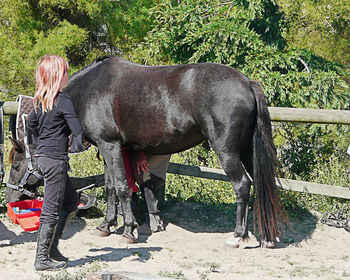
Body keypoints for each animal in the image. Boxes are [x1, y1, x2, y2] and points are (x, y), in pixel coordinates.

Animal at [6, 55, 288, 247]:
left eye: (17, 165)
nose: (10, 198)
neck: (88, 91)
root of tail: (247, 82)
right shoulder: (111, 149)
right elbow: (111, 187)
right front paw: (107, 225)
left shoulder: (110, 146)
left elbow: (122, 187)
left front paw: (129, 229)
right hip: (247, 151)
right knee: (260, 185)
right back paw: (264, 236)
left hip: (227, 151)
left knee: (242, 185)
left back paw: (238, 236)